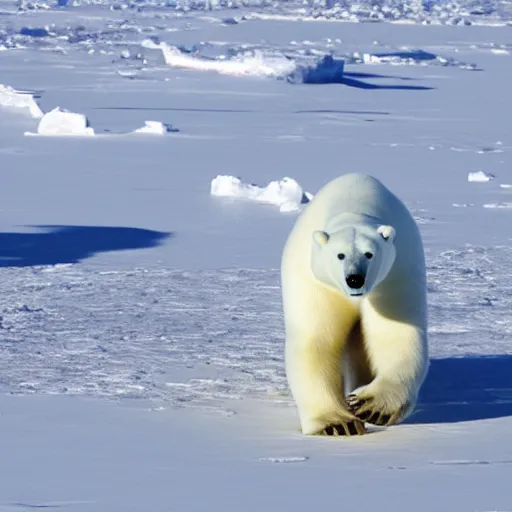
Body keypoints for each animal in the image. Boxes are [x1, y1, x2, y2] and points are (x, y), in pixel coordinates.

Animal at [280, 173, 428, 436]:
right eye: (340, 255)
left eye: (369, 253)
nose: (355, 279)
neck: (353, 207)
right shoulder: (317, 282)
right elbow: (315, 340)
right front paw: (338, 424)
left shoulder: (394, 275)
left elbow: (396, 333)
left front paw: (371, 406)